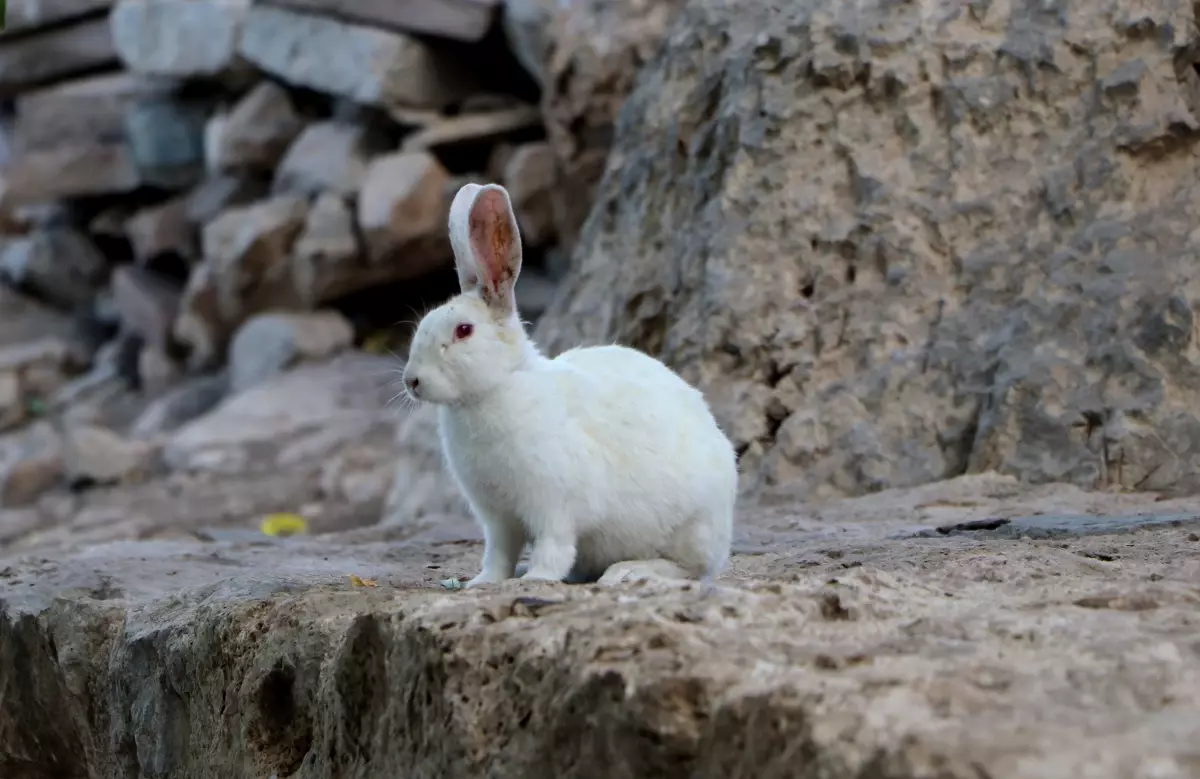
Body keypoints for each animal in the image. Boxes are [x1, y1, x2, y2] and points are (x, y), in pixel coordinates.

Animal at [403, 181, 734, 583]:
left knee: (690, 569)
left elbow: (554, 545)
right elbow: (499, 553)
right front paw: (484, 583)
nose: (412, 381)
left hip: (690, 528)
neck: (495, 389)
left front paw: (537, 578)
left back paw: (626, 572)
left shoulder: (553, 504)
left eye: (463, 330)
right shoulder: (498, 519)